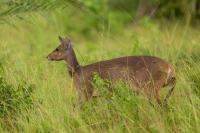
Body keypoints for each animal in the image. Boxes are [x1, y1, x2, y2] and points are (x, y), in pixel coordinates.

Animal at [46, 36, 175, 105]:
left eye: (57, 48)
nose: (47, 56)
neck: (77, 71)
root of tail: (170, 67)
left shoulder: (86, 92)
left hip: (151, 89)